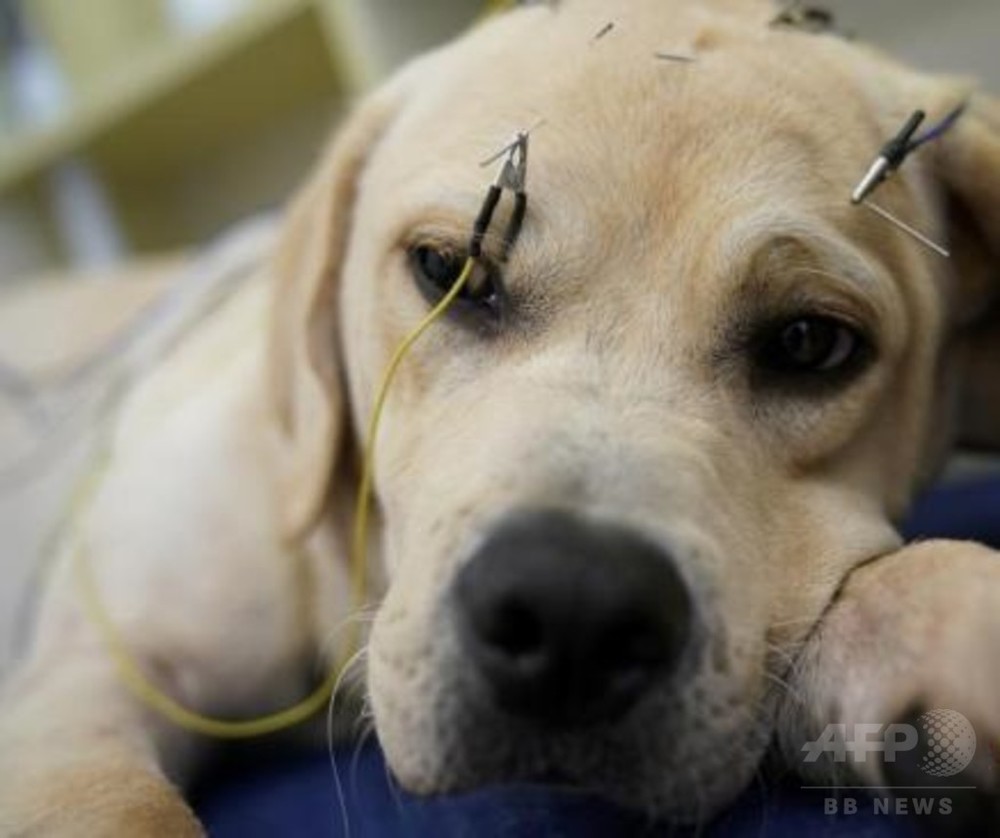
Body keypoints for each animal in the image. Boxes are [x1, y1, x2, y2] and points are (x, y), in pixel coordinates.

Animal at [1, 0, 1000, 836]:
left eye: (808, 341)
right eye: (449, 269)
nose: (574, 614)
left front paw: (943, 623)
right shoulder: (85, 682)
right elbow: (110, 801)